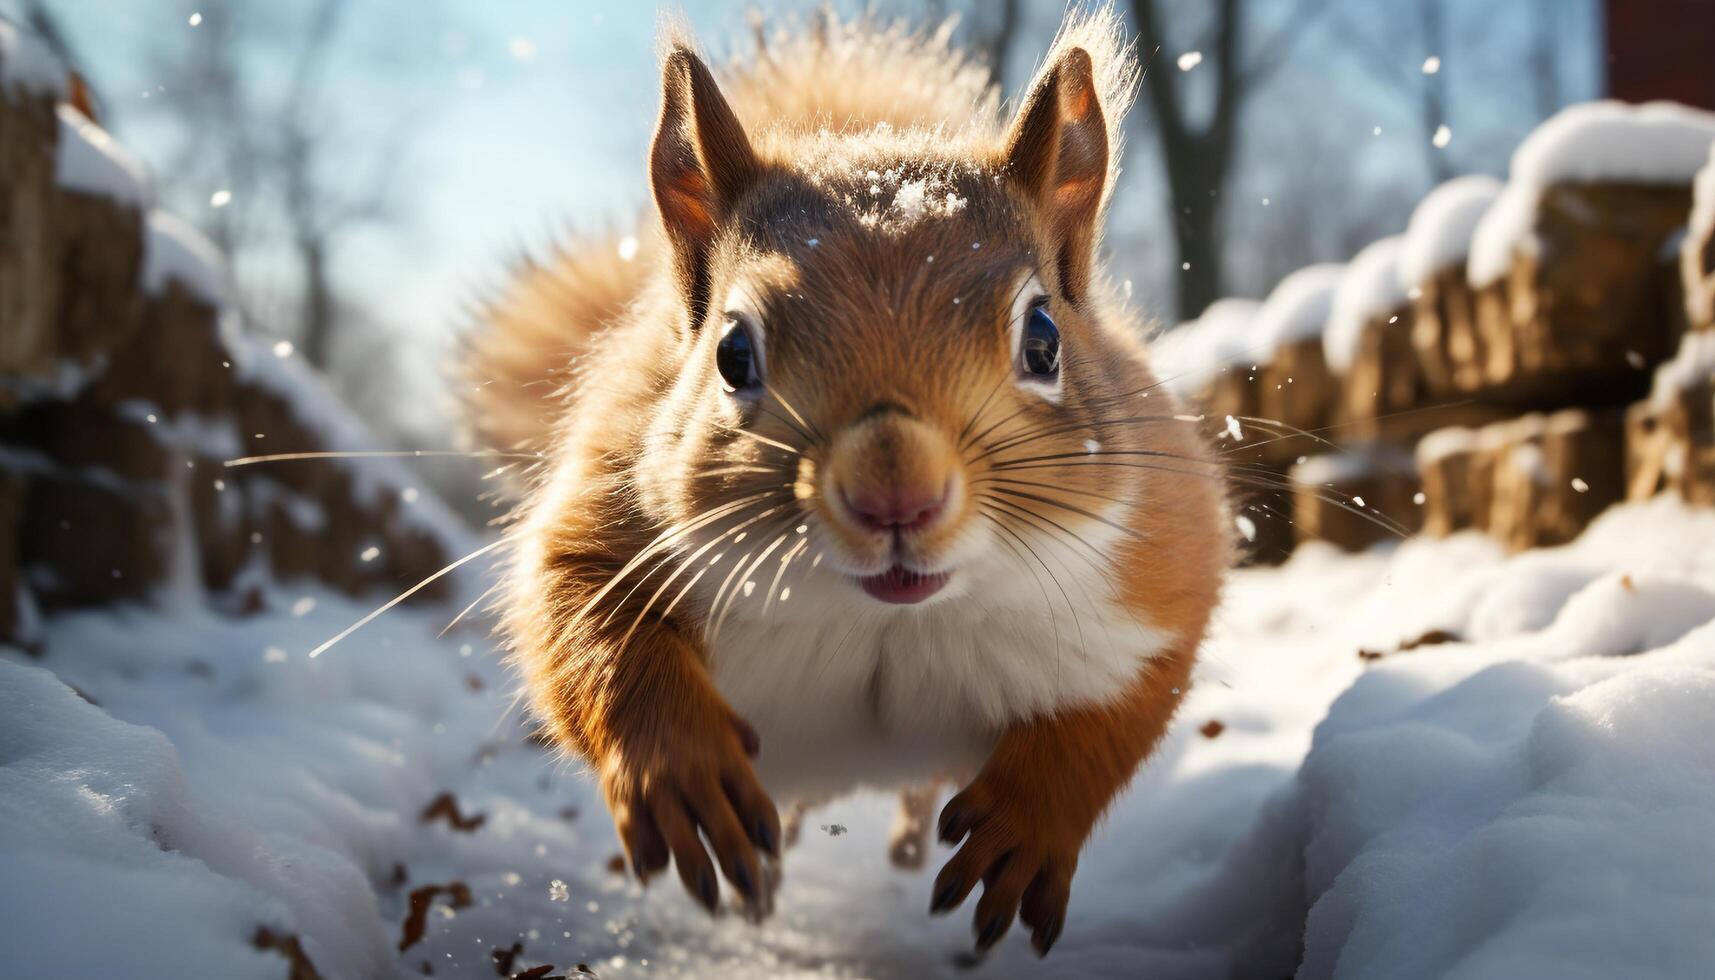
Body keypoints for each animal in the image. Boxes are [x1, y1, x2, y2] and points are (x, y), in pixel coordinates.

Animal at [463, 5, 1227, 961]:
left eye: (1044, 339)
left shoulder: (1159, 570)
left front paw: (1029, 822)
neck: (883, 619)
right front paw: (680, 775)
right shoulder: (606, 518)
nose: (895, 495)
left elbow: (1118, 712)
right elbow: (590, 636)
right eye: (732, 353)